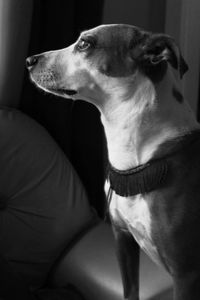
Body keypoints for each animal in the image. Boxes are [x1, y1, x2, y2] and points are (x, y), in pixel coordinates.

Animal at [27, 24, 200, 298]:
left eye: (85, 44)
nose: (29, 61)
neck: (139, 160)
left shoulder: (186, 273)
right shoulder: (122, 238)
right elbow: (130, 291)